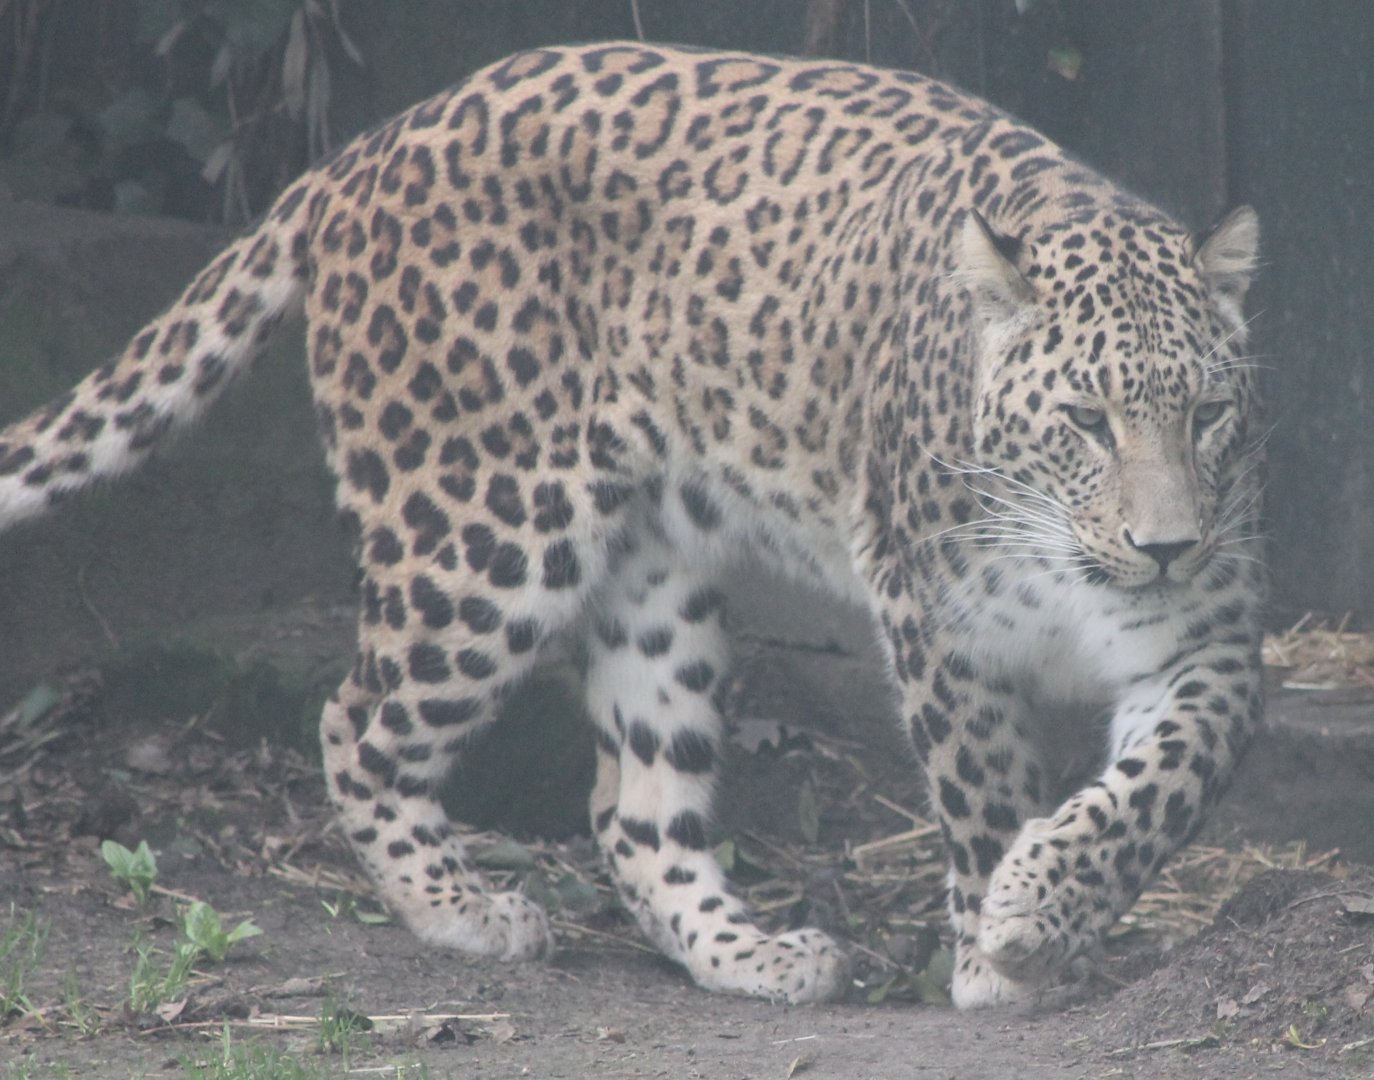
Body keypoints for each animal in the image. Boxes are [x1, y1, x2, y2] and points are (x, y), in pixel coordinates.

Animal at [0, 42, 1264, 1008]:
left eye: (1206, 414)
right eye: (1087, 420)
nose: (1165, 546)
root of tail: (360, 152)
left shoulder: (1207, 644)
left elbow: (1163, 784)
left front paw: (1040, 917)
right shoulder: (941, 633)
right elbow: (985, 793)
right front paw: (1003, 950)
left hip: (654, 579)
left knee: (634, 810)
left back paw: (758, 958)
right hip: (485, 535)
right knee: (355, 719)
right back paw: (462, 911)